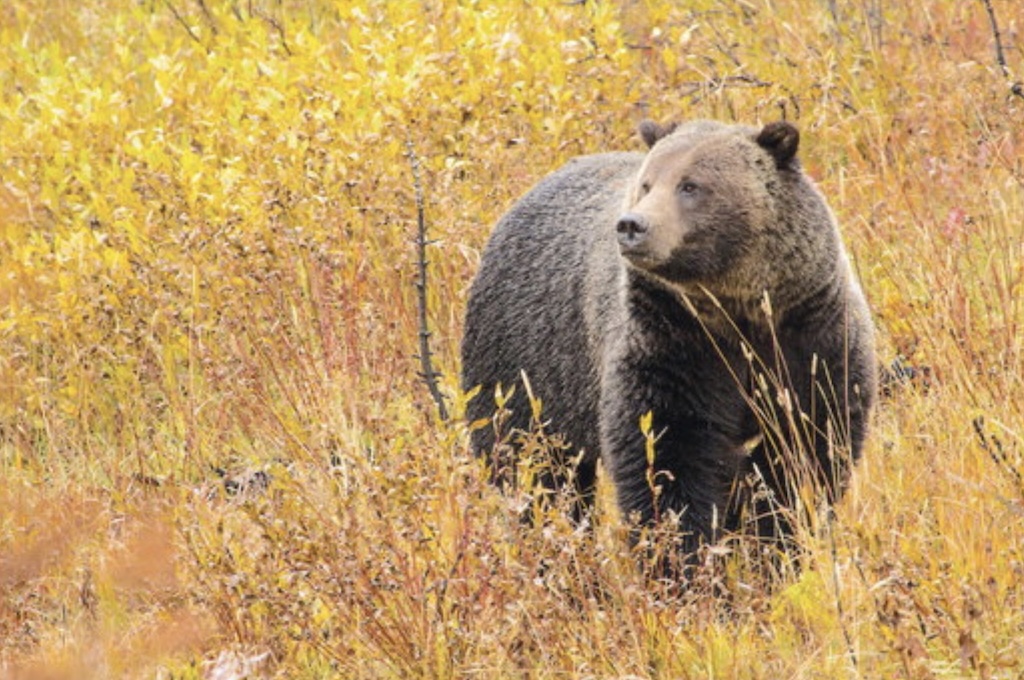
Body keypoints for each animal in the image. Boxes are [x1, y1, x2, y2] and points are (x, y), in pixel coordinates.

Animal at [461, 119, 876, 570]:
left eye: (690, 185)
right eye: (647, 183)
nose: (631, 226)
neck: (738, 314)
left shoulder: (811, 338)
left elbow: (804, 450)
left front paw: (769, 546)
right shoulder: (671, 344)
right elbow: (665, 454)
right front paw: (681, 559)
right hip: (527, 364)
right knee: (533, 467)